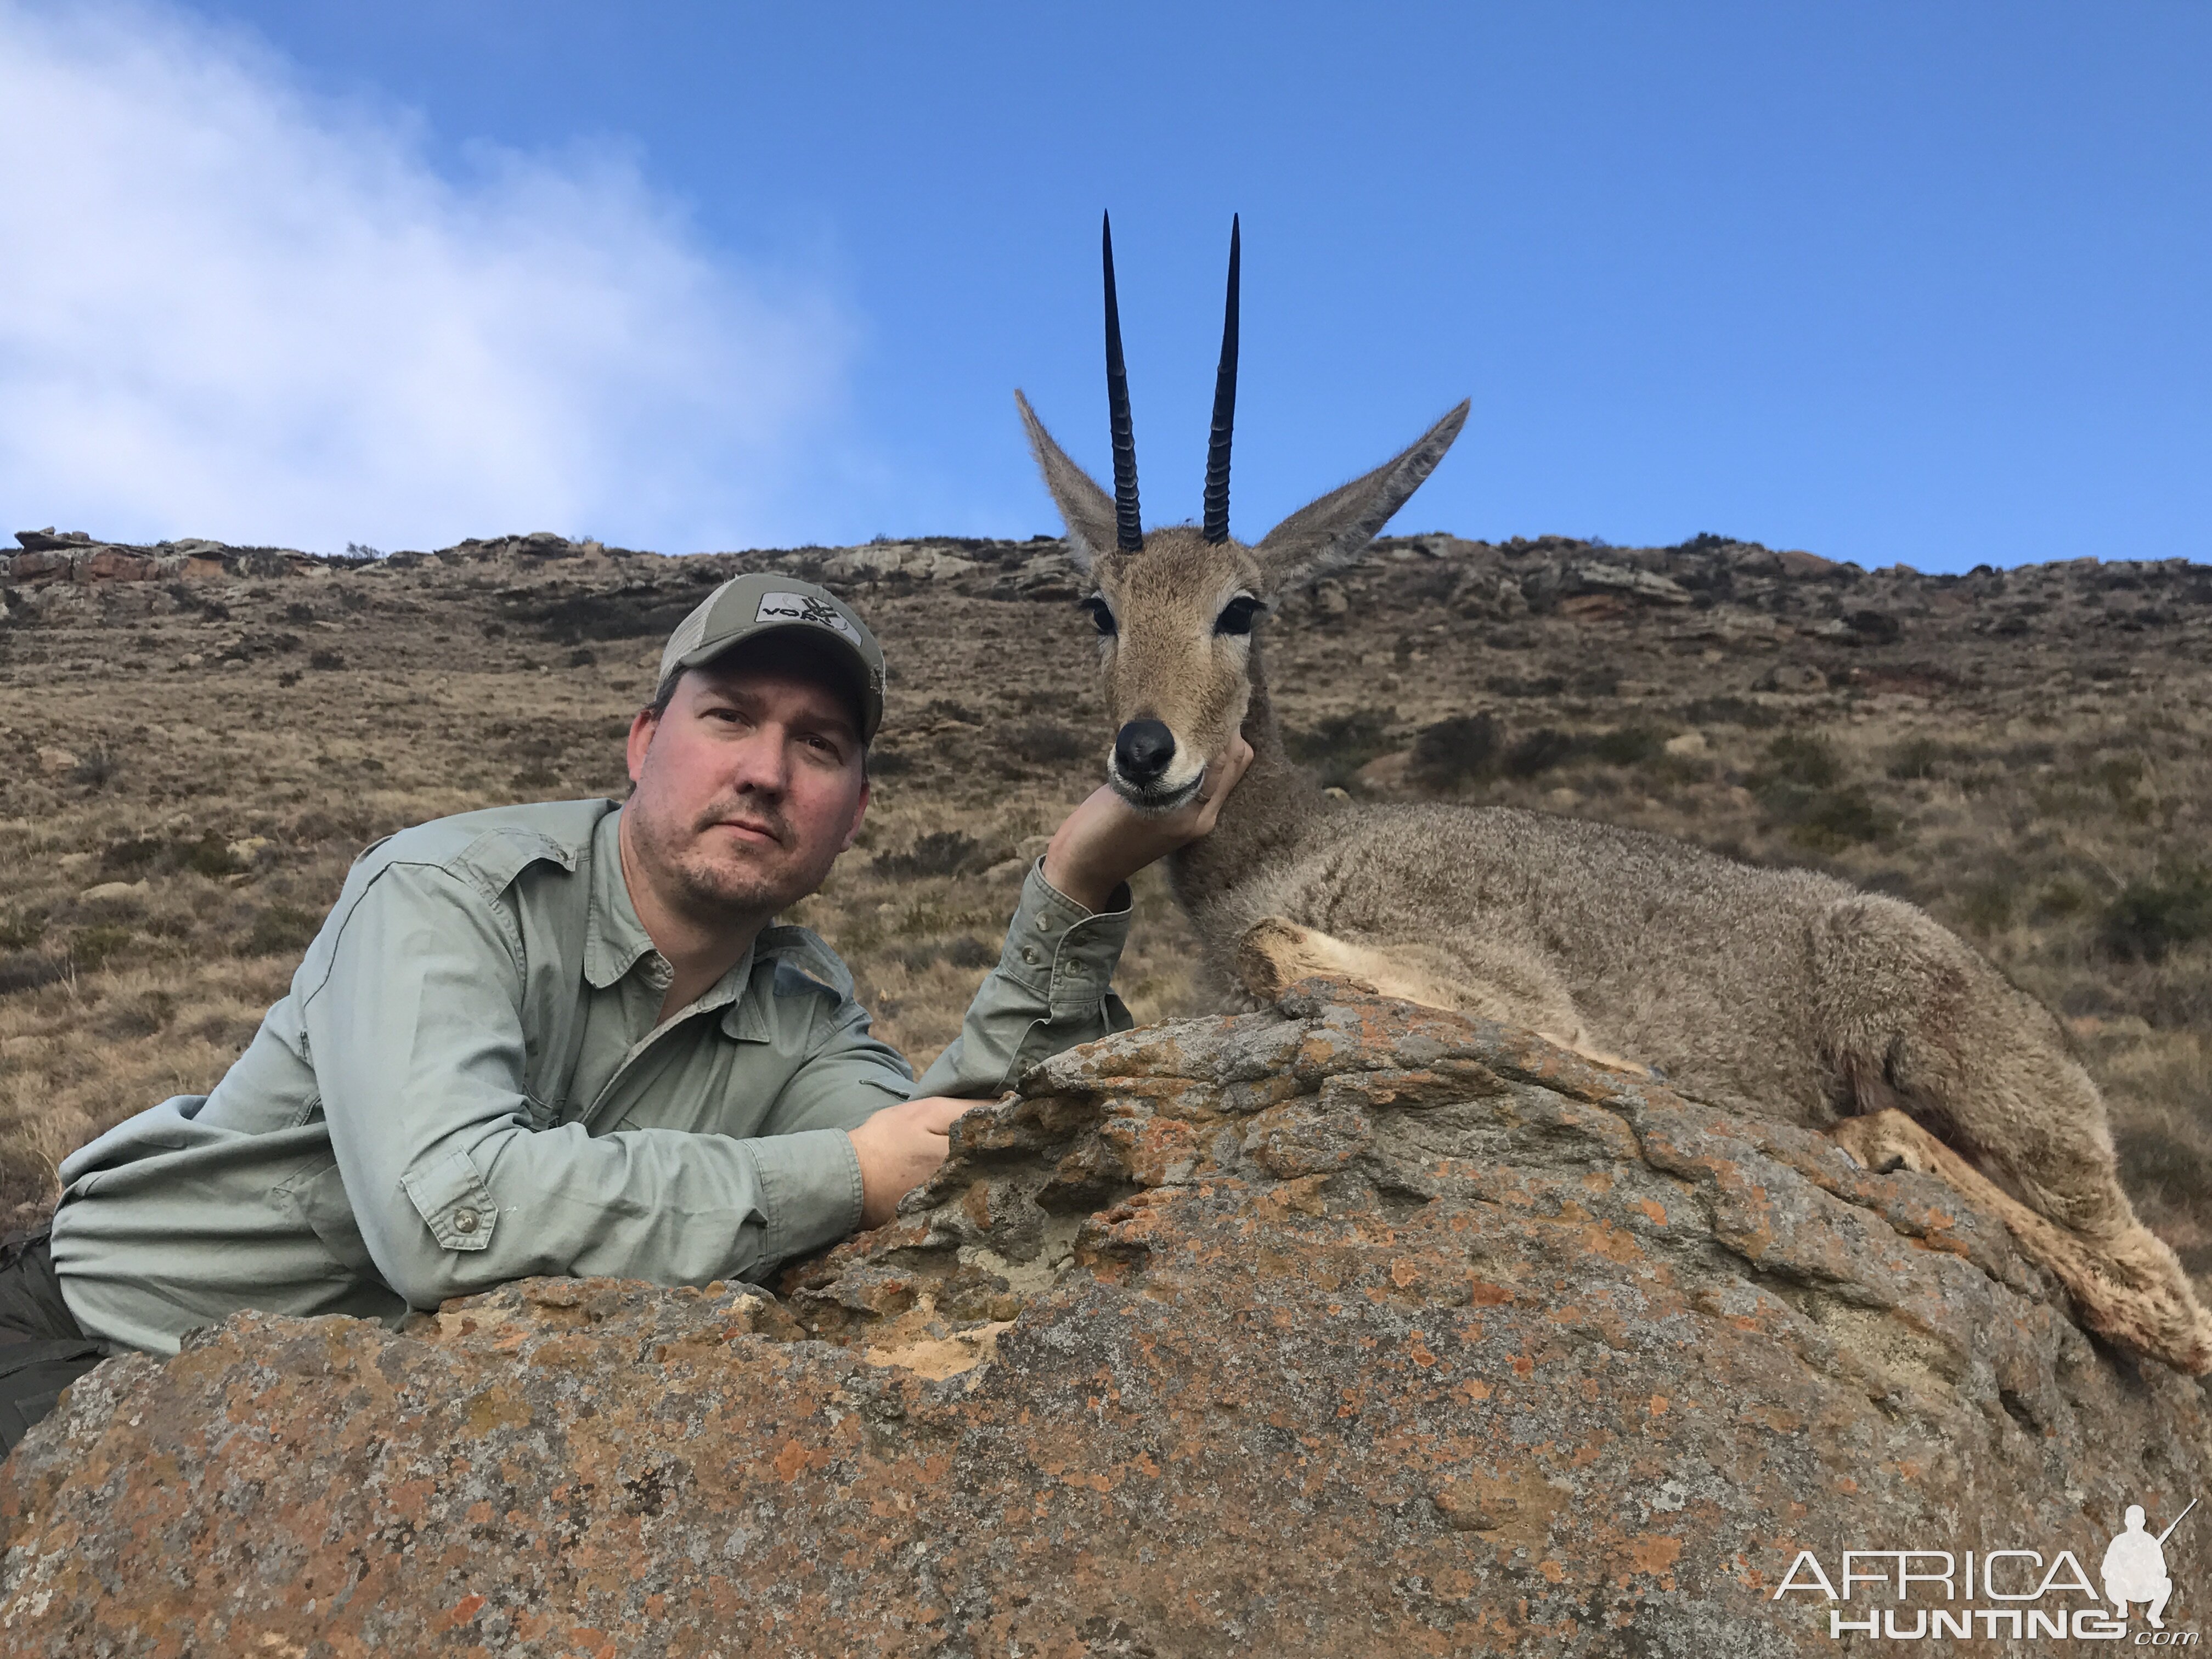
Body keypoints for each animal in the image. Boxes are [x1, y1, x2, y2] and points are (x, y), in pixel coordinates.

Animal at [1013, 211, 2212, 1380]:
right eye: (1098, 609)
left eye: (1242, 607)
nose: (1146, 752)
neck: (1288, 841)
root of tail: (2051, 1039)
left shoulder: (1488, 966)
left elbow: (1308, 959)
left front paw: (1621, 1057)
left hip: (1979, 1087)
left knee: (2162, 1299)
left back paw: (1873, 1140)